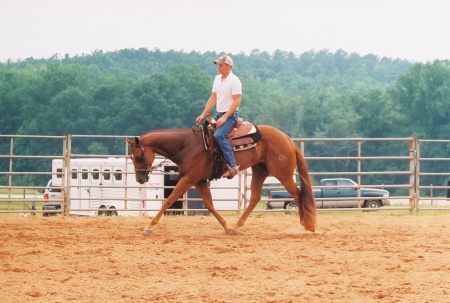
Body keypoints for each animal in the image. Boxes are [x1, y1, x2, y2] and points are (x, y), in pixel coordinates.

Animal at [126, 124, 316, 236]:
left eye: (139, 156)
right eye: (132, 157)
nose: (140, 178)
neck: (187, 145)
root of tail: (287, 139)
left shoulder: (189, 178)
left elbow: (169, 200)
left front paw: (149, 227)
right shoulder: (200, 181)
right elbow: (209, 204)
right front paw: (226, 226)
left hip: (282, 174)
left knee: (298, 194)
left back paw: (307, 224)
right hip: (260, 170)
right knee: (255, 197)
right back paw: (237, 226)